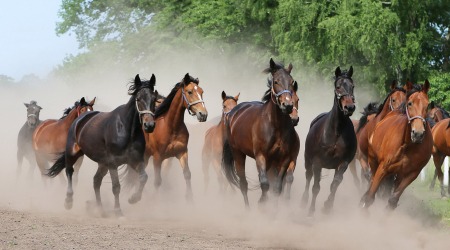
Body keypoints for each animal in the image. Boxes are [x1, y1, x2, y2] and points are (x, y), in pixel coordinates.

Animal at [47, 74, 159, 217]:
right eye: (138, 99)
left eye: (154, 99)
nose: (149, 125)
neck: (126, 129)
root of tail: (79, 119)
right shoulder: (112, 162)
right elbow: (116, 187)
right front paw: (118, 211)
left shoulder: (135, 160)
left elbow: (144, 177)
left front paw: (133, 198)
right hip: (73, 153)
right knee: (70, 171)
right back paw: (68, 201)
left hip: (102, 163)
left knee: (96, 181)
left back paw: (101, 209)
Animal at [221, 59, 298, 207]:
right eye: (276, 81)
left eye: (292, 81)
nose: (287, 106)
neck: (275, 126)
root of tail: (233, 113)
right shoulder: (261, 156)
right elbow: (264, 184)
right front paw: (262, 204)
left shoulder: (284, 159)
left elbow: (277, 187)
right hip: (238, 153)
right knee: (243, 184)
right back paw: (248, 208)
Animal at [300, 65, 356, 216]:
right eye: (338, 87)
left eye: (352, 86)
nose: (350, 107)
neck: (336, 131)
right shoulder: (317, 162)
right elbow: (316, 187)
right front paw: (311, 211)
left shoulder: (343, 163)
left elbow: (334, 184)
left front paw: (327, 205)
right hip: (308, 160)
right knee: (308, 176)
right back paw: (304, 200)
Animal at [362, 80, 432, 209]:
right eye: (410, 103)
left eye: (427, 105)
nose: (418, 134)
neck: (408, 145)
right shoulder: (383, 168)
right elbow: (370, 196)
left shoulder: (411, 174)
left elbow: (392, 201)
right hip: (373, 161)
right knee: (371, 182)